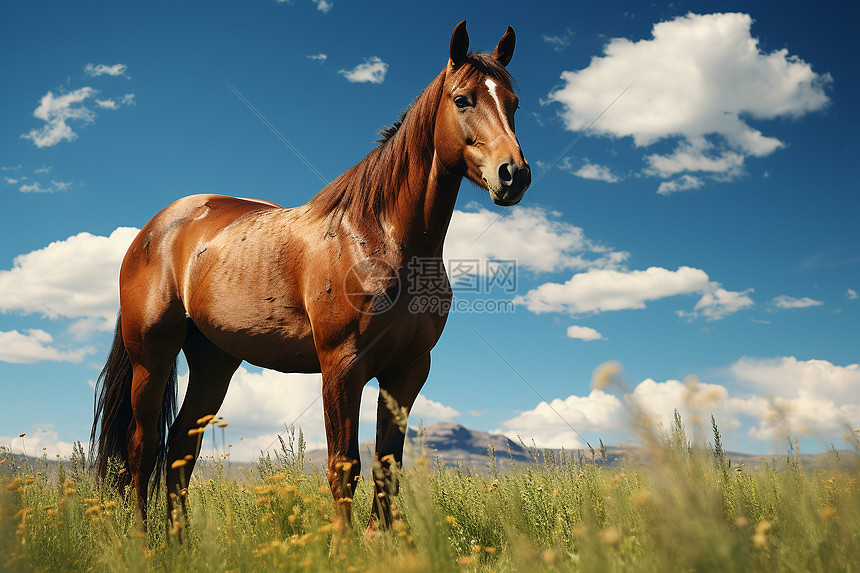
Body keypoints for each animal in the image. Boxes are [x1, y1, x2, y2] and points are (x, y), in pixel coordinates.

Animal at [90, 21, 528, 532]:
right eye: (462, 100)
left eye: (514, 103)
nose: (514, 175)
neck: (379, 235)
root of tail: (154, 229)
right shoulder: (342, 367)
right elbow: (344, 467)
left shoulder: (407, 371)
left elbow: (387, 469)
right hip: (152, 357)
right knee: (141, 450)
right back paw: (140, 540)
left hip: (214, 363)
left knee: (180, 448)